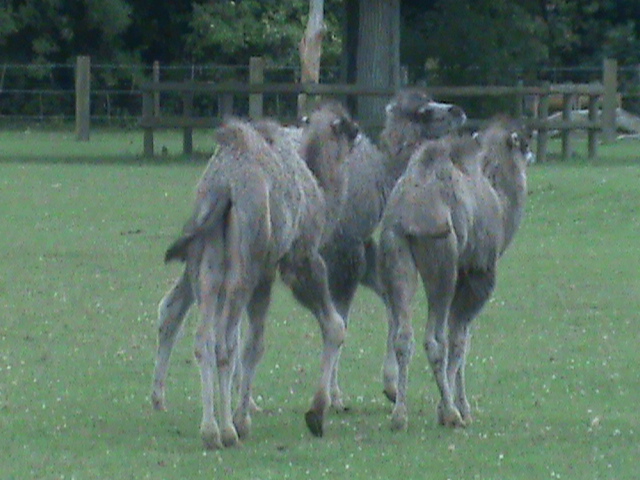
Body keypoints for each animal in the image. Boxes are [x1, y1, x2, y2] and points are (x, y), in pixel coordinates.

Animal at [151, 102, 358, 449]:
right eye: (348, 129)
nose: (360, 138)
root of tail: (224, 185)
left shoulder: (264, 273)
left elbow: (250, 341)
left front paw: (243, 411)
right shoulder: (295, 260)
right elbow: (330, 327)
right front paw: (314, 413)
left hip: (206, 264)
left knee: (196, 330)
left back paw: (198, 422)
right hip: (246, 264)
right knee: (222, 343)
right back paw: (225, 431)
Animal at [377, 117, 533, 431]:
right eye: (523, 142)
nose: (531, 152)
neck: (499, 201)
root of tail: (409, 212)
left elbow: (459, 336)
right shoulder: (477, 272)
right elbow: (460, 339)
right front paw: (457, 408)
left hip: (395, 249)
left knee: (403, 334)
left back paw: (399, 414)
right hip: (443, 259)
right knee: (435, 339)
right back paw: (451, 413)